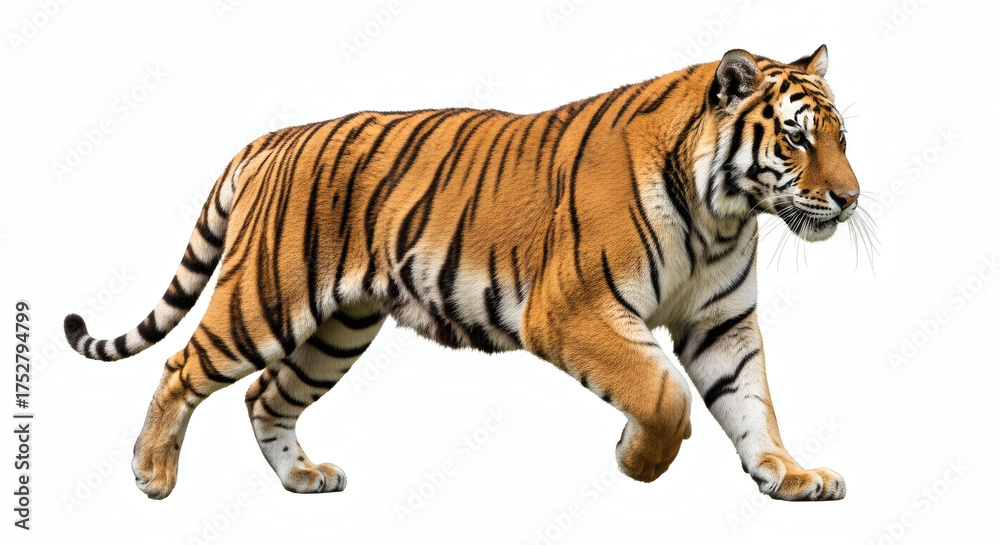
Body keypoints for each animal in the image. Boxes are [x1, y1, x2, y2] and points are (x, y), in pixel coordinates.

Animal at [64, 45, 859, 501]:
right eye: (796, 139)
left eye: (843, 138)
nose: (851, 198)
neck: (721, 212)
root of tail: (274, 137)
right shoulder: (572, 309)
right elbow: (664, 393)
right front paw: (637, 461)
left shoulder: (721, 323)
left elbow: (750, 402)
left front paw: (789, 474)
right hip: (264, 301)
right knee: (181, 366)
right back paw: (152, 473)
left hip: (337, 330)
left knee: (266, 394)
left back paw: (302, 477)